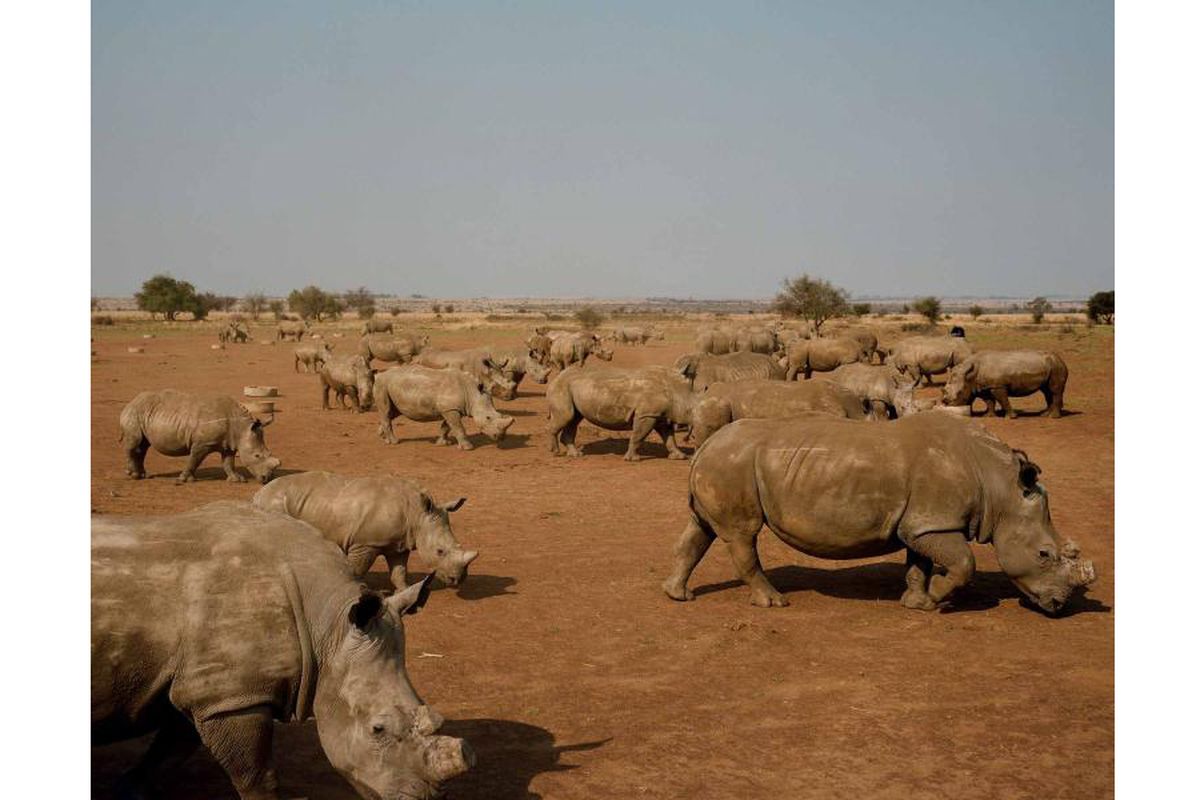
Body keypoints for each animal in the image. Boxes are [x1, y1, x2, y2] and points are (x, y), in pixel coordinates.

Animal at [92, 503, 472, 800]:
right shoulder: (234, 696)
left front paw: (128, 791)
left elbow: (169, 749)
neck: (328, 625)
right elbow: (257, 776)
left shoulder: (209, 689)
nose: (426, 797)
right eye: (377, 730)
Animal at [118, 391, 279, 484]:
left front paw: (236, 479)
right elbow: (194, 460)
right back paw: (133, 476)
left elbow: (228, 462)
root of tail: (131, 401)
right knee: (135, 443)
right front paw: (183, 479)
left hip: (143, 414)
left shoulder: (229, 444)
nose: (267, 479)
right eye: (257, 456)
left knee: (143, 446)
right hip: (135, 413)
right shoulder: (203, 443)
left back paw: (142, 475)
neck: (241, 428)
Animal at [253, 472, 477, 592]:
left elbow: (399, 571)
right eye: (440, 551)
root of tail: (258, 494)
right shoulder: (365, 543)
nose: (458, 580)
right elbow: (357, 569)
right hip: (274, 505)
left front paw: (405, 591)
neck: (416, 514)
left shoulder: (400, 543)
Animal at [372, 364, 508, 448]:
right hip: (382, 384)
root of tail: (380, 375)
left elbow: (446, 427)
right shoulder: (450, 409)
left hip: (391, 386)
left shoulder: (450, 408)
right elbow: (458, 427)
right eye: (488, 418)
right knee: (386, 411)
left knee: (392, 412)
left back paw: (383, 437)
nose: (500, 437)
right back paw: (394, 442)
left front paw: (443, 443)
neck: (472, 392)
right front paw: (468, 447)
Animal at [667, 412, 1099, 614]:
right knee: (743, 534)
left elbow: (919, 562)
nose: (1058, 607)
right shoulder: (935, 522)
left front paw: (917, 602)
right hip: (733, 464)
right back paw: (774, 603)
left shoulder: (925, 523)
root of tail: (704, 446)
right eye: (1044, 555)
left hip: (723, 463)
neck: (999, 486)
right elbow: (964, 562)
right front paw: (939, 600)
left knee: (701, 528)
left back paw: (678, 596)